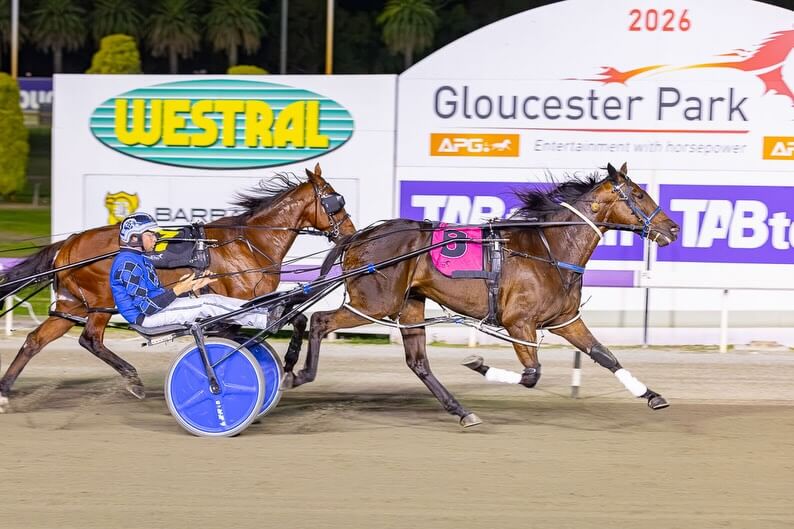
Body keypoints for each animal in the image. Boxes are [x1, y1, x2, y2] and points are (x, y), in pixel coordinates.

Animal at [0, 164, 356, 412]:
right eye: (333, 200)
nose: (351, 232)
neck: (249, 242)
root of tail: (68, 244)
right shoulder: (246, 302)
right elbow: (283, 322)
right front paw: (284, 365)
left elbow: (292, 319)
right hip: (101, 302)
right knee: (90, 339)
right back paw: (133, 380)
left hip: (72, 306)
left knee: (35, 341)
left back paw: (5, 392)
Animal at [287, 163, 679, 427]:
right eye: (639, 194)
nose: (673, 228)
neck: (550, 247)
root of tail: (359, 236)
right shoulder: (518, 322)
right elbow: (531, 374)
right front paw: (478, 364)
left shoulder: (565, 320)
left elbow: (605, 355)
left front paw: (652, 395)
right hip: (374, 303)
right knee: (319, 320)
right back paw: (296, 373)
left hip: (409, 304)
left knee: (418, 362)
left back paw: (462, 411)